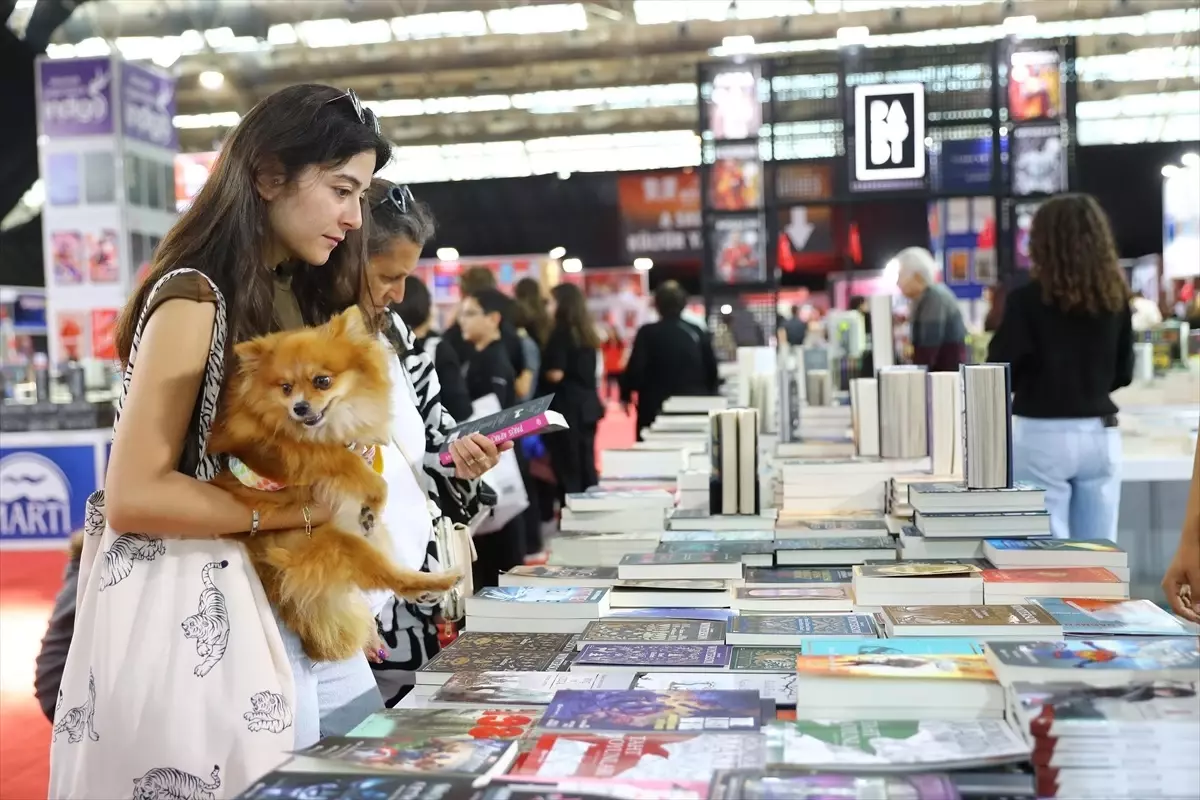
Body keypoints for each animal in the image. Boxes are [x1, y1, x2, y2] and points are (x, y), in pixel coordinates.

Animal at [210, 309, 458, 662]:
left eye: (322, 381)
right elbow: (364, 474)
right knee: (387, 575)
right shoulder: (307, 455)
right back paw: (432, 582)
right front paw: (375, 500)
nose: (299, 407)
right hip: (335, 544)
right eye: (286, 388)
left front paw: (369, 506)